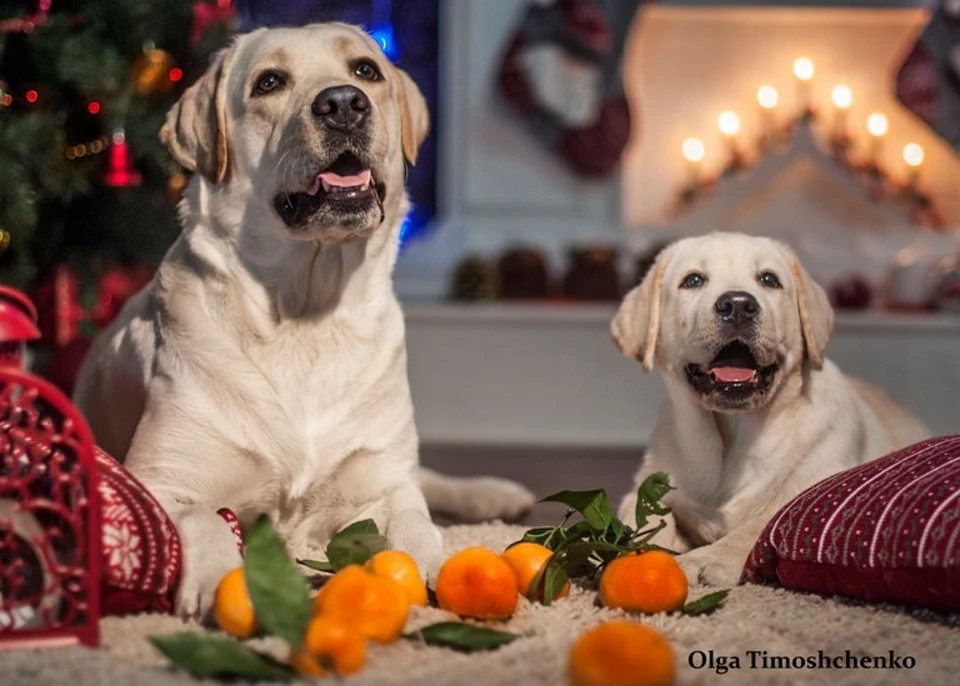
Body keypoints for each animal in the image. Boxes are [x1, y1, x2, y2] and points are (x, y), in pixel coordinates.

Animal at [77, 25, 532, 620]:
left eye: (366, 71)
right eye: (269, 82)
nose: (342, 104)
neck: (306, 316)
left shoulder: (383, 482)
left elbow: (415, 521)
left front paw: (441, 566)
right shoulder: (162, 480)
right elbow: (205, 518)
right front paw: (220, 581)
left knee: (429, 480)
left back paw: (498, 494)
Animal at [612, 235, 928, 584]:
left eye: (768, 279)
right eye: (693, 280)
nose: (737, 305)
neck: (732, 436)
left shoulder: (817, 484)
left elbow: (760, 525)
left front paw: (705, 559)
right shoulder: (647, 485)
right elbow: (644, 511)